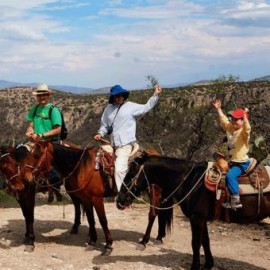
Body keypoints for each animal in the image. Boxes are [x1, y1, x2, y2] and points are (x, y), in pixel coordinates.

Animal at [115, 153, 270, 268]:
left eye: (131, 174)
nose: (119, 200)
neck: (190, 180)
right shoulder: (202, 218)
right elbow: (205, 241)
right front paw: (208, 264)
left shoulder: (196, 218)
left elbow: (195, 242)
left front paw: (195, 266)